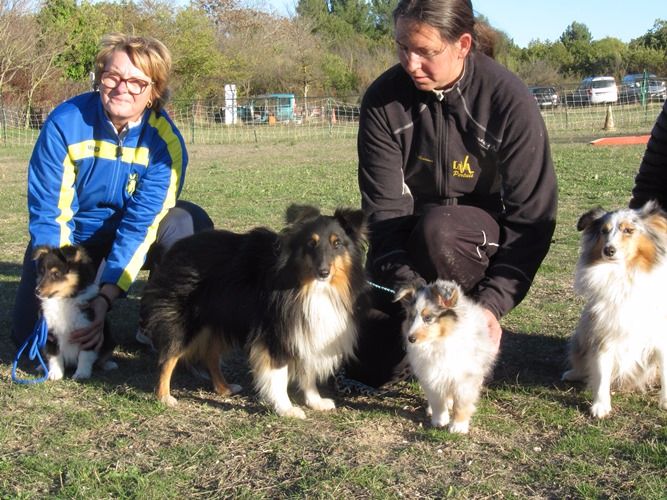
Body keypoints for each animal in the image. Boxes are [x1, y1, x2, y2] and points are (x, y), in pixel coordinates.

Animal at [34, 245, 117, 378]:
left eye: (56, 274)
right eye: (41, 272)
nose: (36, 291)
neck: (64, 300)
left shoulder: (88, 332)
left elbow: (85, 356)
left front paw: (81, 374)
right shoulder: (50, 334)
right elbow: (54, 355)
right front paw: (55, 373)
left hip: (109, 341)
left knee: (102, 358)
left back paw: (108, 365)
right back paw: (42, 367)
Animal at [142, 203, 370, 418]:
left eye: (337, 243)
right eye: (311, 244)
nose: (323, 272)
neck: (308, 286)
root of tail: (180, 245)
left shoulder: (305, 330)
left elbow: (308, 371)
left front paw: (315, 401)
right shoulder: (276, 333)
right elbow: (279, 375)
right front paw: (286, 409)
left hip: (221, 318)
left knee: (210, 355)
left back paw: (224, 388)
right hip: (186, 321)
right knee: (168, 357)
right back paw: (164, 397)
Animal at [394, 280, 498, 432]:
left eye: (428, 318)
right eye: (411, 317)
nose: (410, 338)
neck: (438, 341)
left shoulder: (465, 378)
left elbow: (461, 404)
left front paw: (458, 426)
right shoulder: (431, 376)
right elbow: (437, 401)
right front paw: (439, 420)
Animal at [564, 202, 667, 418]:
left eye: (628, 230)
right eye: (604, 231)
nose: (608, 250)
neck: (624, 275)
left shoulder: (661, 336)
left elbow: (666, 372)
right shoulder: (603, 331)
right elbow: (602, 371)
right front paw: (600, 406)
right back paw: (573, 373)